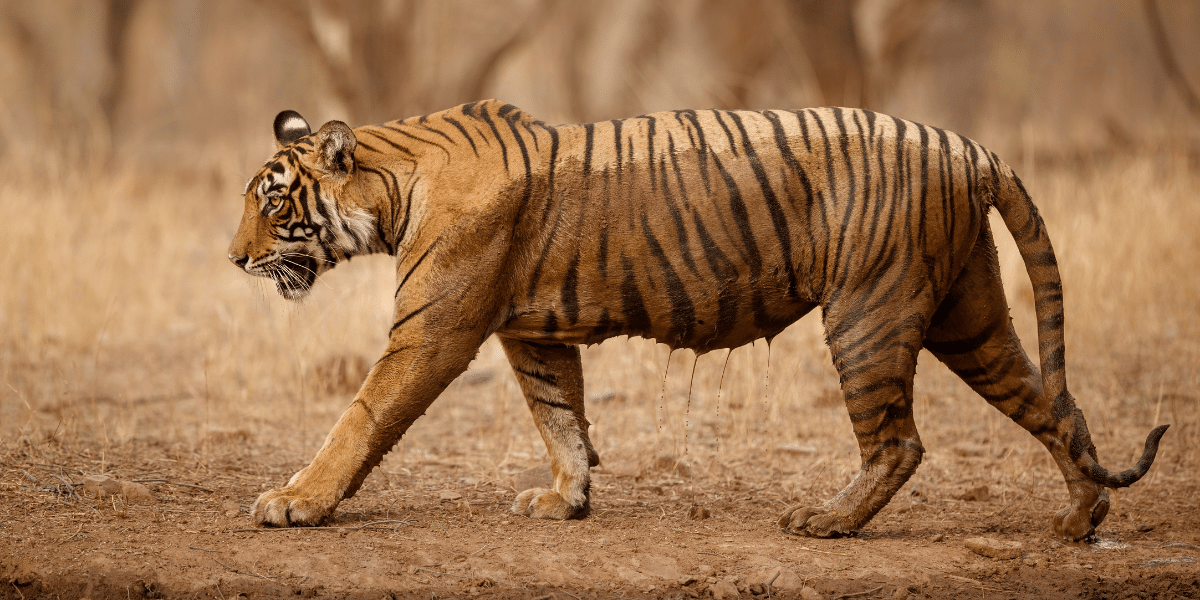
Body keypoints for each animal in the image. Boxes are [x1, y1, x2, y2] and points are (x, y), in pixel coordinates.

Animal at [228, 100, 1167, 540]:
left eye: (273, 205)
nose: (234, 260)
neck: (392, 187)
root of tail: (968, 146)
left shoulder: (435, 326)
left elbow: (362, 416)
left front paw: (294, 502)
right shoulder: (530, 332)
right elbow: (560, 416)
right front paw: (568, 499)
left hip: (869, 310)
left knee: (900, 441)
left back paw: (827, 522)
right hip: (967, 316)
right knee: (1053, 404)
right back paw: (1080, 518)